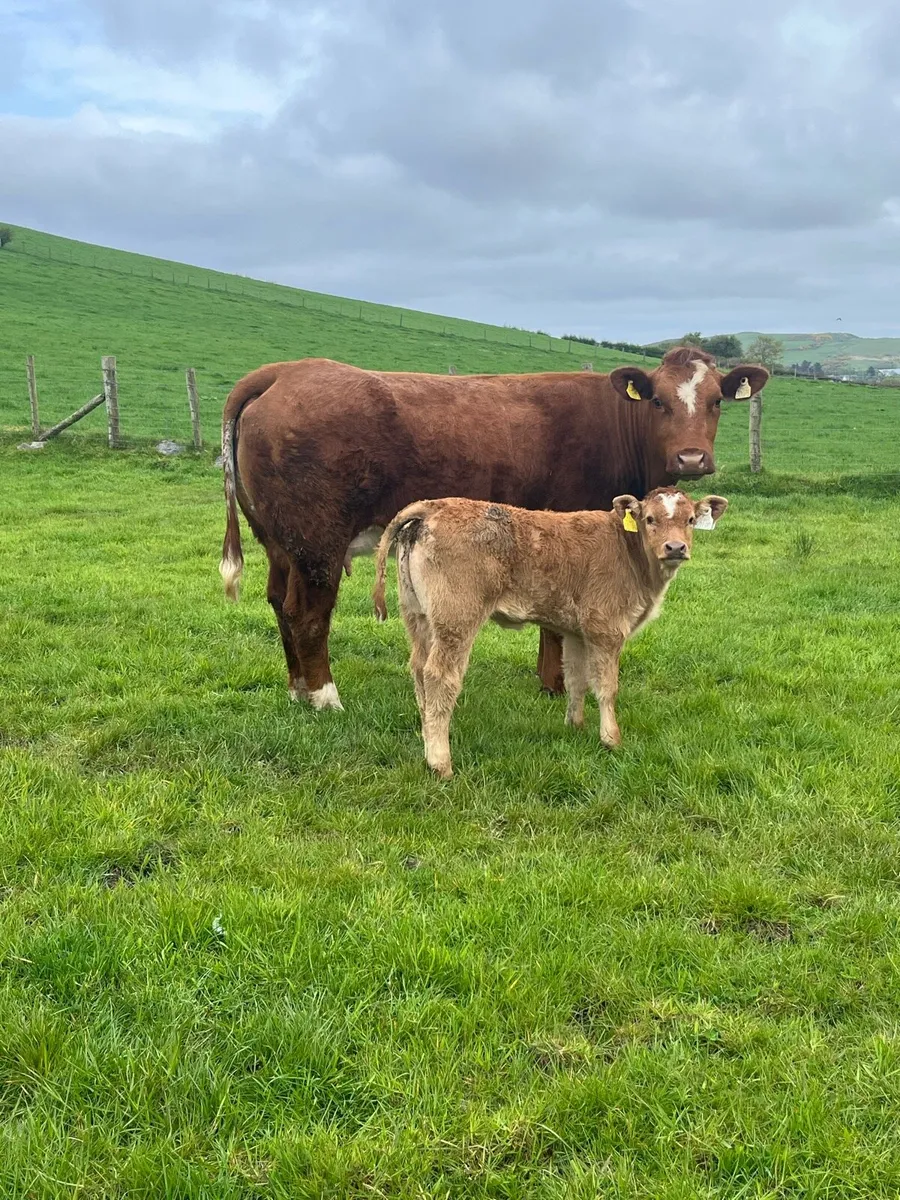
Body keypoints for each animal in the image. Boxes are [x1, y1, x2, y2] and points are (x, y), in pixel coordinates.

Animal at [218, 348, 764, 710]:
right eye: (658, 402)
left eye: (716, 401)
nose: (691, 458)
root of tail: (284, 371)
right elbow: (557, 621)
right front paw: (557, 685)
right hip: (317, 542)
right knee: (307, 611)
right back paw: (323, 697)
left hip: (279, 541)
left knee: (278, 601)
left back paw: (296, 689)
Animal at [372, 488, 728, 777]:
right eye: (650, 518)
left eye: (691, 519)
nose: (675, 547)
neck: (631, 554)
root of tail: (433, 506)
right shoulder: (606, 629)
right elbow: (607, 687)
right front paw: (611, 739)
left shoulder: (575, 632)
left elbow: (575, 679)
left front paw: (575, 726)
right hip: (456, 618)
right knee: (439, 676)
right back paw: (440, 762)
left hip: (417, 616)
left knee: (418, 669)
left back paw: (428, 737)